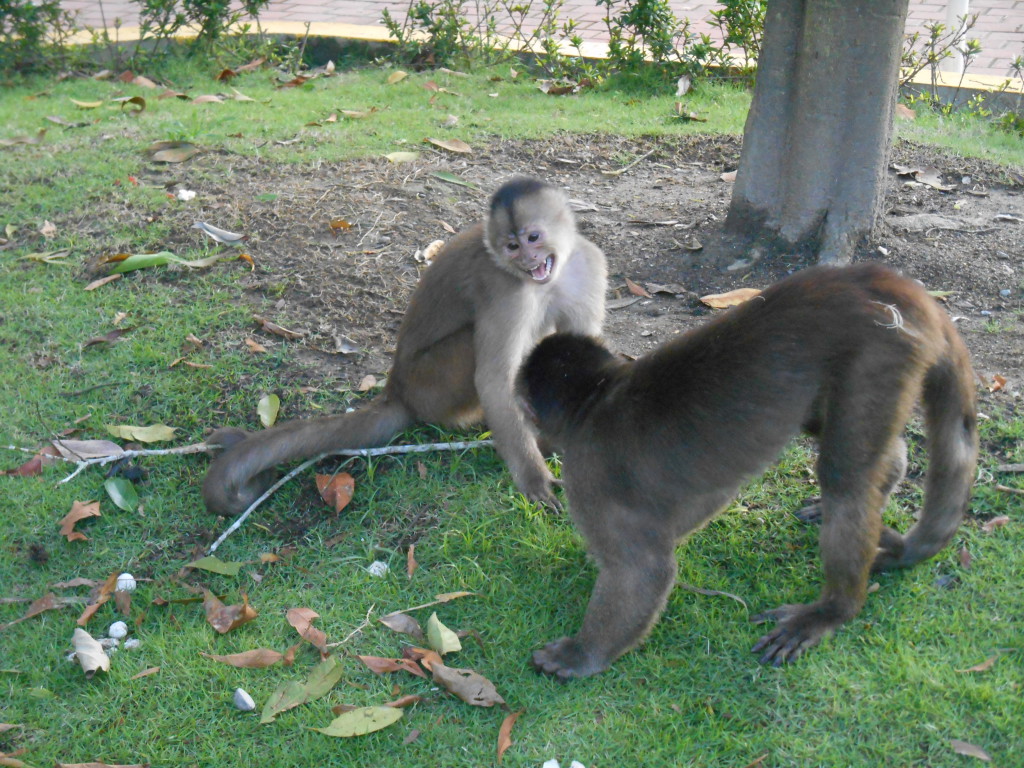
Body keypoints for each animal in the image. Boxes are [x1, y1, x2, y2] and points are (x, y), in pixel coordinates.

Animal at [201, 176, 606, 518]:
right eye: (511, 246)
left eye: (533, 237)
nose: (527, 260)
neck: (552, 276)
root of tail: (398, 389)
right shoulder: (505, 288)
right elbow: (494, 379)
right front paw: (534, 477)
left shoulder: (589, 264)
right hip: (433, 385)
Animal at [516, 264, 978, 679]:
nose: (536, 436)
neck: (599, 395)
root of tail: (877, 278)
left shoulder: (587, 473)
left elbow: (646, 568)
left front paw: (582, 655)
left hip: (877, 354)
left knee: (845, 482)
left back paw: (834, 609)